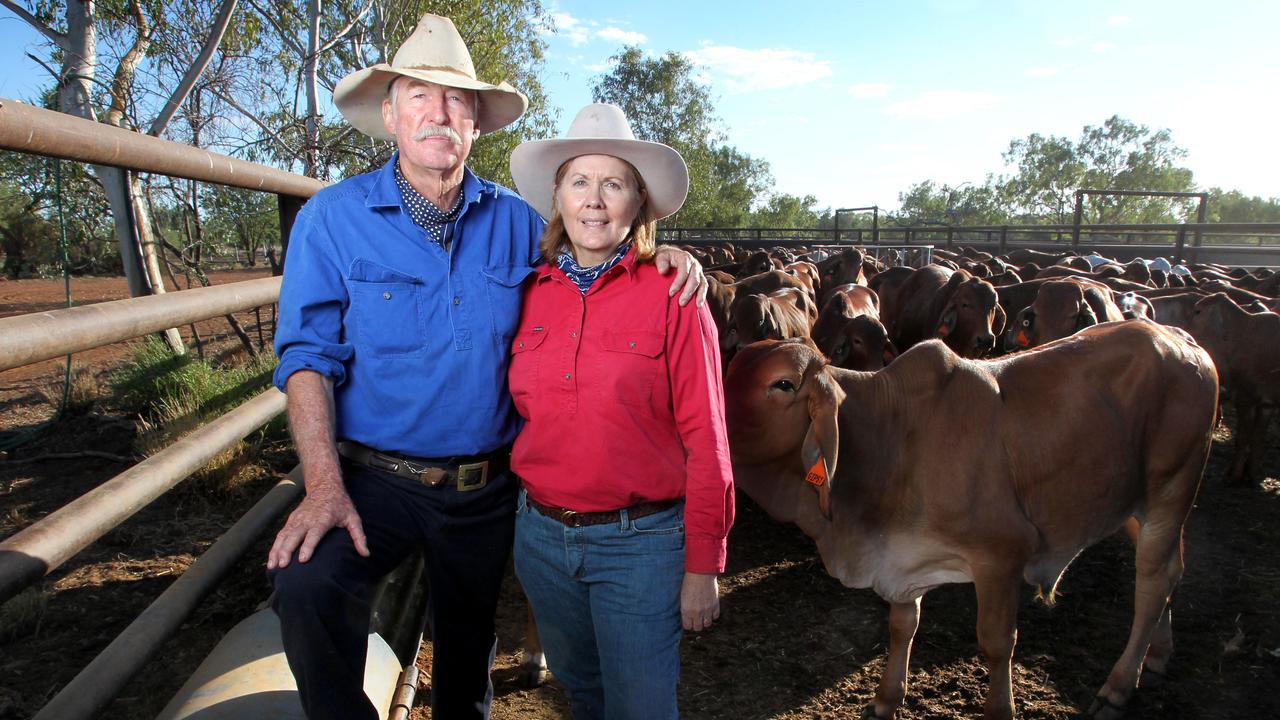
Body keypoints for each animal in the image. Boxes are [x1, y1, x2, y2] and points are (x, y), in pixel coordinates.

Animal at [727, 320, 1213, 717]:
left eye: (783, 384)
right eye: (730, 369)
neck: (889, 435)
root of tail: (1180, 337)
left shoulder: (1001, 557)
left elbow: (996, 643)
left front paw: (1000, 709)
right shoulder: (901, 556)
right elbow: (902, 626)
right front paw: (886, 699)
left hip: (1170, 491)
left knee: (1152, 581)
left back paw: (1118, 686)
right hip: (1130, 504)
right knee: (1171, 571)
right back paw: (1157, 655)